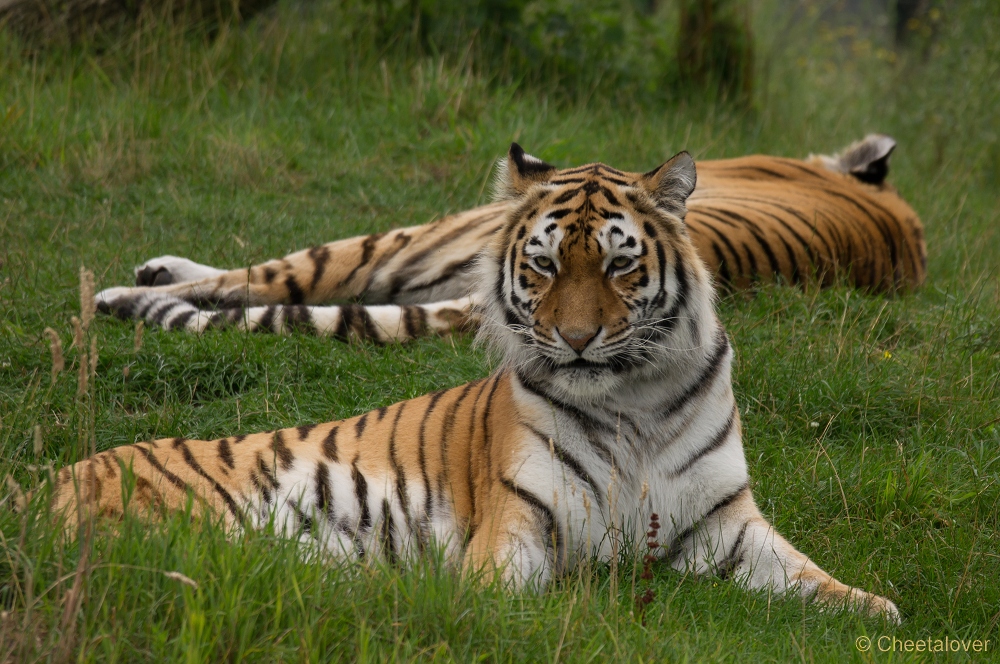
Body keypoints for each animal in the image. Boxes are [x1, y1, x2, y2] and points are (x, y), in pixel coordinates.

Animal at [54, 145, 904, 624]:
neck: (630, 402)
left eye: (620, 265)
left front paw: (877, 612)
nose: (576, 339)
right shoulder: (518, 533)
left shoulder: (727, 524)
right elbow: (552, 594)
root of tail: (43, 485)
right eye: (546, 264)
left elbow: (816, 580)